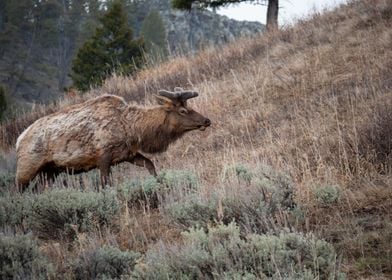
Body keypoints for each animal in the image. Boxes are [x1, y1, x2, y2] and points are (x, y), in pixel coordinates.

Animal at [14, 88, 211, 191]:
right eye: (183, 111)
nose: (207, 120)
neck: (132, 130)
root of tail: (18, 140)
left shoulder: (128, 154)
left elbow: (150, 165)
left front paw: (158, 183)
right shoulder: (103, 155)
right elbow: (105, 183)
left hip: (50, 170)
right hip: (28, 166)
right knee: (18, 189)